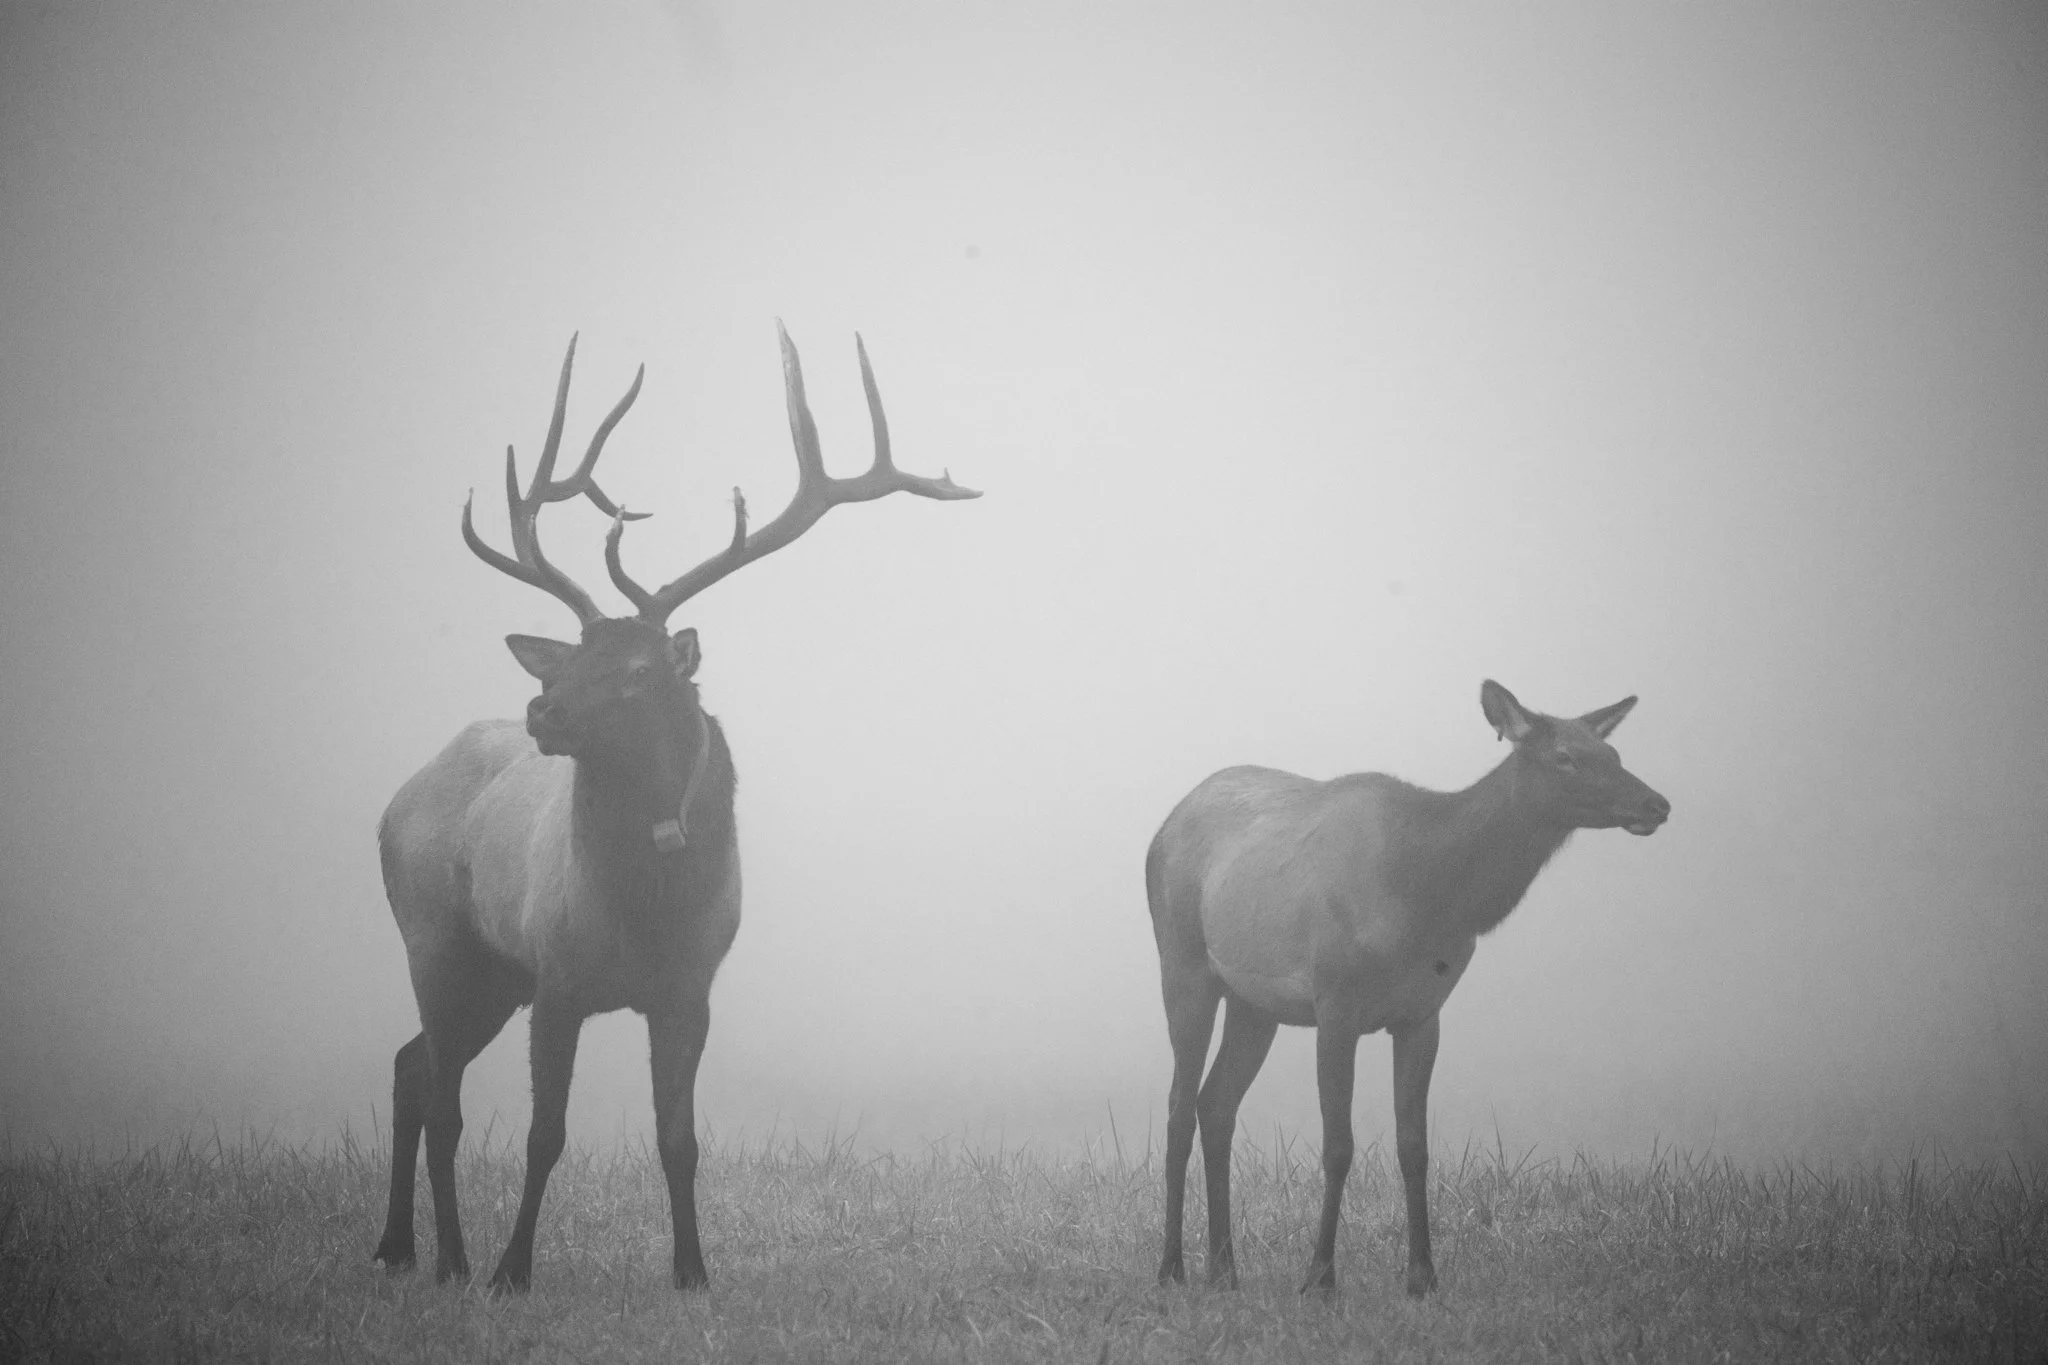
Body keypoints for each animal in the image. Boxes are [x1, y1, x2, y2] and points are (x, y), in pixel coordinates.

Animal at [371, 325, 977, 1293]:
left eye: (638, 668)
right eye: (573, 650)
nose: (542, 710)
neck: (646, 908)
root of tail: (397, 799)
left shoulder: (690, 986)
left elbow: (679, 1138)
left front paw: (693, 1269)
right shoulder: (559, 977)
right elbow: (544, 1136)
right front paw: (513, 1270)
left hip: (493, 973)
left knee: (410, 1066)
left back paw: (404, 1247)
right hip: (435, 937)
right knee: (438, 1094)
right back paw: (449, 1258)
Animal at [1147, 680, 1669, 1297]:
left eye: (1613, 752)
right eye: (1565, 756)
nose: (1656, 804)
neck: (1426, 888)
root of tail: (1164, 827)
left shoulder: (1423, 1013)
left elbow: (1414, 1146)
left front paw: (1422, 1276)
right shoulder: (1336, 1002)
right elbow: (1339, 1146)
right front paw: (1319, 1277)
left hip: (1255, 1005)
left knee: (1216, 1103)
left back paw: (1225, 1268)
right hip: (1183, 965)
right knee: (1179, 1106)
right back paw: (1172, 1268)